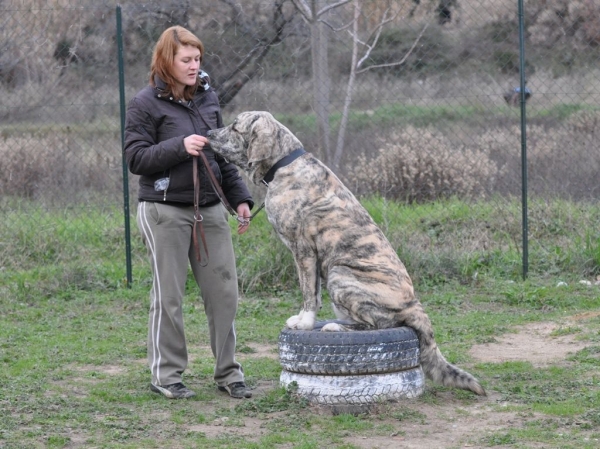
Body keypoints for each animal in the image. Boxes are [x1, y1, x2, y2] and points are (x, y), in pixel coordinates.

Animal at [209, 110, 486, 394]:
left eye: (235, 127)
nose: (208, 134)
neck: (283, 164)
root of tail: (415, 306)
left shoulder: (304, 250)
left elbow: (308, 293)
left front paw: (305, 323)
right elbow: (313, 293)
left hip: (339, 274)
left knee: (380, 324)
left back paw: (333, 327)